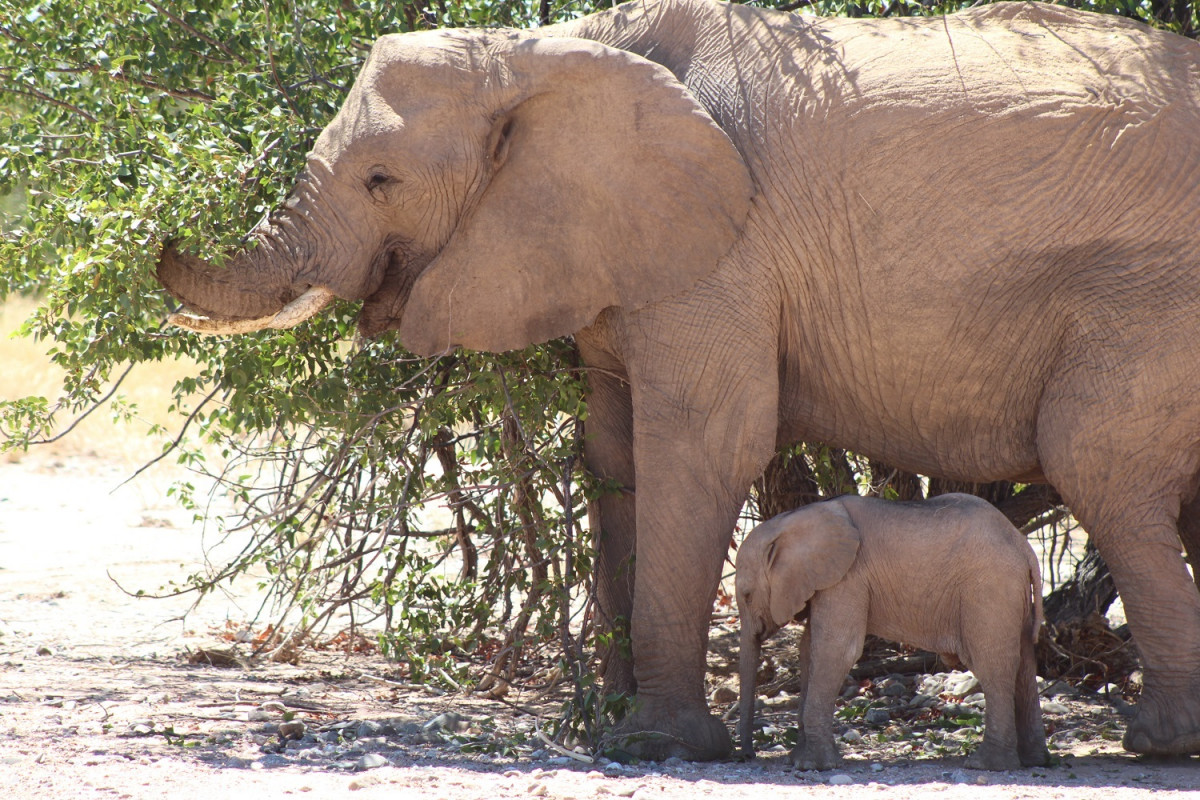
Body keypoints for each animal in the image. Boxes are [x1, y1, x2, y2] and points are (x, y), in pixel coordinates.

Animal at [734, 491, 1046, 772]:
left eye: (747, 595)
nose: (746, 756)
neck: (793, 520)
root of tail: (1023, 546)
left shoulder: (848, 577)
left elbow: (837, 649)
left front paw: (814, 766)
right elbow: (808, 649)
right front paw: (798, 760)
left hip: (989, 589)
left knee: (991, 664)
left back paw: (987, 765)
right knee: (1023, 665)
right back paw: (1033, 760)